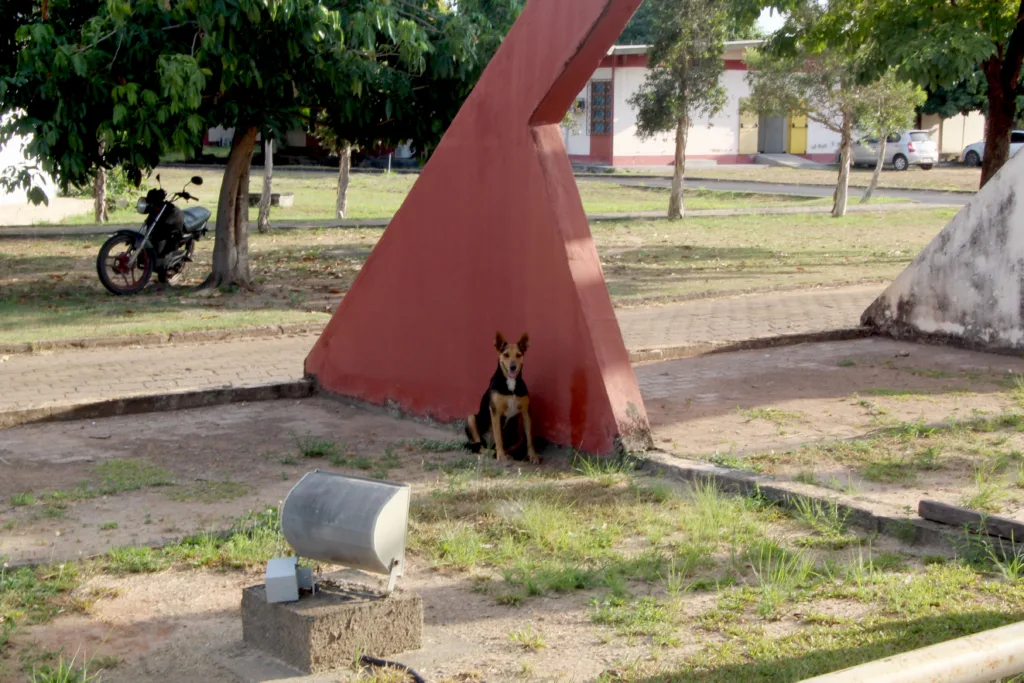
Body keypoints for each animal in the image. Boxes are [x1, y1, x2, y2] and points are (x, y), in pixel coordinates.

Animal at [466, 331, 540, 464]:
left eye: (518, 355)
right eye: (506, 355)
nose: (513, 367)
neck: (511, 382)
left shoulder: (526, 412)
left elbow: (530, 439)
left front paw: (533, 456)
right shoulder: (495, 412)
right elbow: (498, 436)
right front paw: (501, 455)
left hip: (517, 436)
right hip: (471, 419)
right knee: (479, 445)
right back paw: (490, 452)